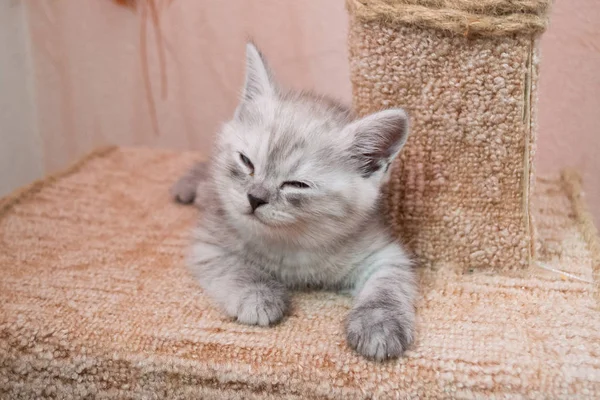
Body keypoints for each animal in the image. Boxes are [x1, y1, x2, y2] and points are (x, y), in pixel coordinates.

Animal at [172, 43, 418, 362]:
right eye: (246, 162)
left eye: (296, 184)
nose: (255, 197)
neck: (290, 246)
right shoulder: (209, 244)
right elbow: (236, 269)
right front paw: (258, 295)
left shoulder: (383, 252)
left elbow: (387, 285)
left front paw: (379, 323)